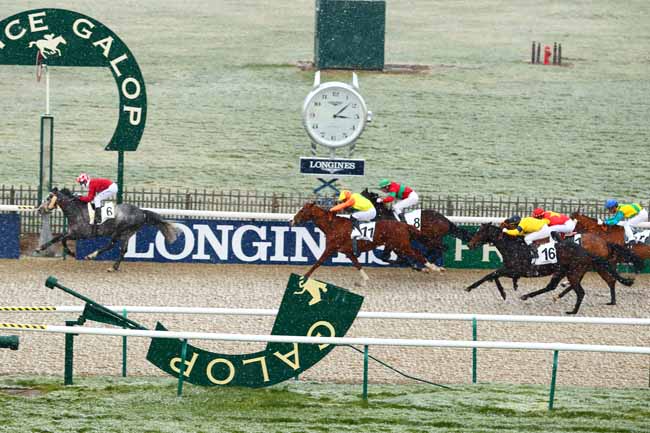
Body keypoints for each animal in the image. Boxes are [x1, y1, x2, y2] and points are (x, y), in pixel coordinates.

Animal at [35, 187, 178, 272]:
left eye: (48, 198)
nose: (39, 210)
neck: (76, 211)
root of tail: (141, 212)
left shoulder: (81, 234)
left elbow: (63, 240)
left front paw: (71, 253)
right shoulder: (71, 232)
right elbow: (58, 238)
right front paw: (41, 248)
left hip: (119, 231)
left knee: (111, 245)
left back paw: (92, 255)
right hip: (127, 233)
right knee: (123, 250)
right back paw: (114, 267)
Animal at [290, 202, 442, 286]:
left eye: (302, 210)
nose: (291, 221)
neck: (333, 226)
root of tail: (403, 225)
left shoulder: (330, 248)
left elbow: (317, 263)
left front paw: (304, 278)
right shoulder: (348, 251)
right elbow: (357, 264)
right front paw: (364, 279)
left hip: (402, 245)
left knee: (418, 254)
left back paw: (433, 267)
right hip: (395, 246)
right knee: (403, 257)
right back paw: (423, 268)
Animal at [465, 223, 633, 314]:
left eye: (480, 232)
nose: (470, 244)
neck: (513, 247)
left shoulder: (513, 269)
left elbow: (491, 275)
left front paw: (471, 287)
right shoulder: (510, 270)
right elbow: (494, 276)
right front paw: (507, 290)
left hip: (574, 272)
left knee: (581, 291)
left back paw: (573, 311)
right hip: (565, 271)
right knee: (553, 286)